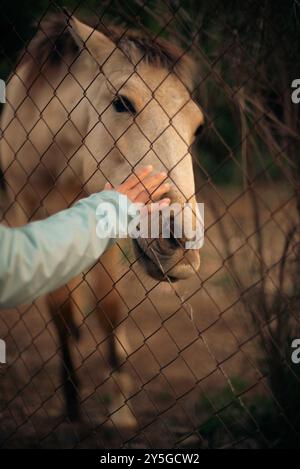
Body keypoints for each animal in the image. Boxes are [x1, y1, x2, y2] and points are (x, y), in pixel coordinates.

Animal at [0, 12, 204, 426]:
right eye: (122, 103)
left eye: (198, 125)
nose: (183, 246)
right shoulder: (35, 212)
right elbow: (60, 309)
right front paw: (72, 402)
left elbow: (109, 308)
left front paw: (120, 407)